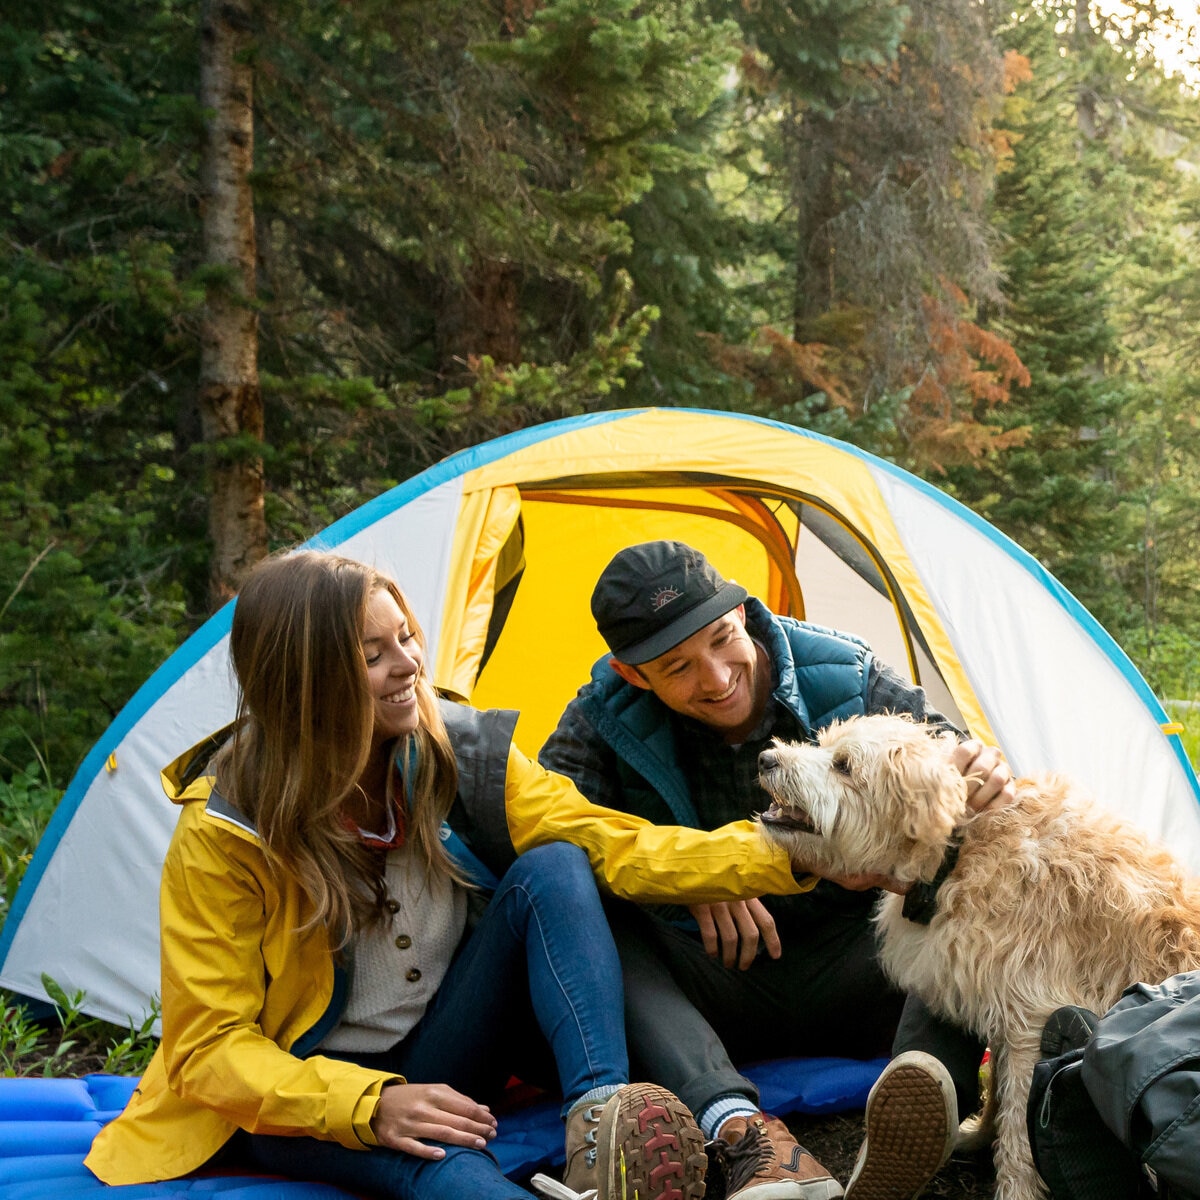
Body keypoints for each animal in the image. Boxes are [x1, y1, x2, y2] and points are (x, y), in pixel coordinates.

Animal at [758, 710, 1200, 1200]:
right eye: (823, 744)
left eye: (844, 766)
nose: (766, 758)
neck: (956, 852)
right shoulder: (1006, 1007)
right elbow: (1001, 1096)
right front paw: (979, 1134)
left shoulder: (1033, 1018)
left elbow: (1019, 1124)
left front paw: (1015, 1188)